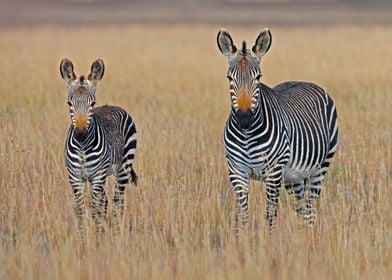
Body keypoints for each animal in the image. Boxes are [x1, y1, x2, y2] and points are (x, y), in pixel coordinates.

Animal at [59, 58, 137, 235]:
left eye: (92, 103)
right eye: (69, 103)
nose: (80, 134)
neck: (82, 147)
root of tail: (112, 105)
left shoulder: (98, 176)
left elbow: (94, 209)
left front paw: (96, 238)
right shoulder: (75, 177)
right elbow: (80, 210)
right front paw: (83, 237)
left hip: (123, 168)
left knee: (117, 202)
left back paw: (116, 231)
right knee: (106, 202)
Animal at [216, 28, 338, 231]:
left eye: (258, 77)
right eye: (229, 78)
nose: (244, 119)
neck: (247, 136)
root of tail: (304, 81)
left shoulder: (273, 172)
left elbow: (270, 215)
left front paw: (268, 239)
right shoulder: (236, 171)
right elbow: (242, 216)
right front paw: (240, 239)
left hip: (320, 167)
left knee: (310, 209)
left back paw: (310, 236)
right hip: (293, 177)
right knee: (301, 209)